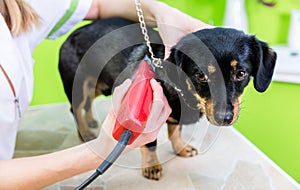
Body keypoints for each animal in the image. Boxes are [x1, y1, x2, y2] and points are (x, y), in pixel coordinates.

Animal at [58, 17, 276, 180]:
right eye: (200, 75)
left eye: (241, 73)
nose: (224, 118)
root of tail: (74, 34)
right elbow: (151, 143)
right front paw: (151, 166)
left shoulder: (176, 117)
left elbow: (175, 132)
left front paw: (181, 148)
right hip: (79, 85)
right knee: (75, 108)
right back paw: (85, 133)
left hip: (97, 85)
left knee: (87, 103)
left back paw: (91, 121)